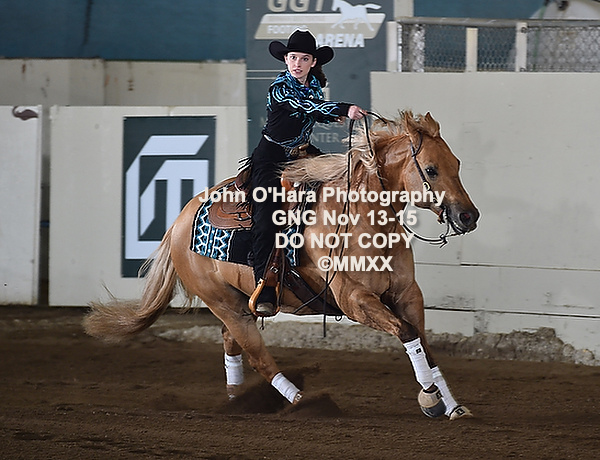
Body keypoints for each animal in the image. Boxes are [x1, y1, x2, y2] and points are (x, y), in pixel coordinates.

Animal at [83, 111, 479, 420]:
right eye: (431, 169)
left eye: (457, 165)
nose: (468, 215)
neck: (360, 217)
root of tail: (179, 222)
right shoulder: (355, 299)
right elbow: (408, 334)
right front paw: (430, 401)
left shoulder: (407, 294)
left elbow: (424, 345)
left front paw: (452, 405)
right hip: (224, 304)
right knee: (258, 356)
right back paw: (302, 402)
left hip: (237, 303)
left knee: (231, 343)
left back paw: (239, 402)